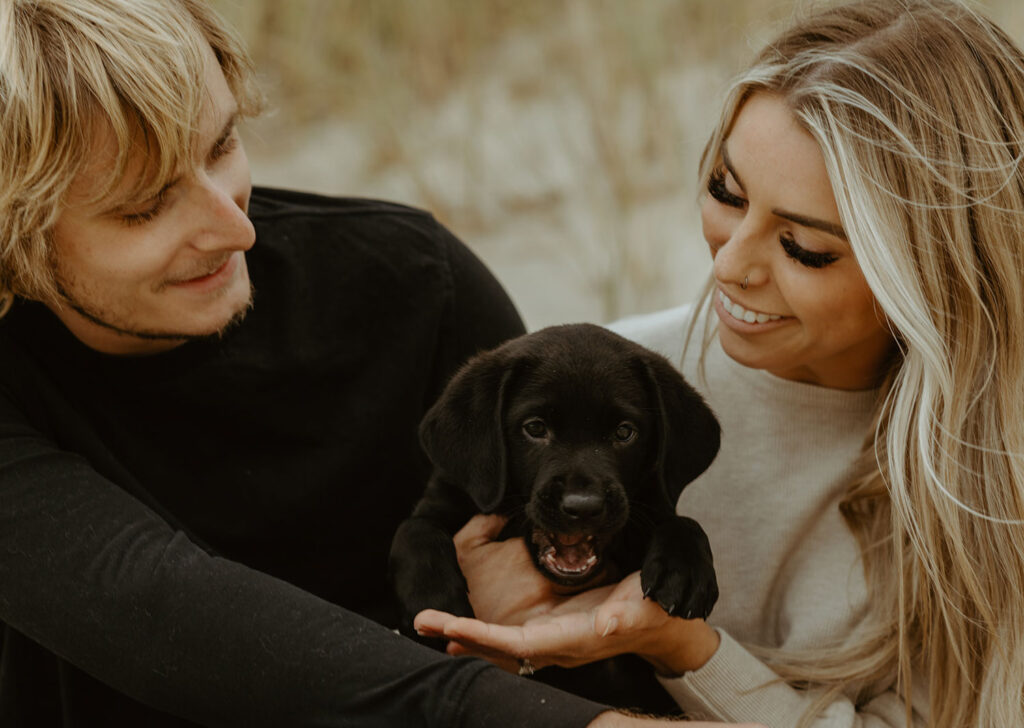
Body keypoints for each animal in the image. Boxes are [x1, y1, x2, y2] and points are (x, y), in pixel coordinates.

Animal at [389, 325, 720, 712]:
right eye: (535, 428)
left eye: (624, 432)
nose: (583, 506)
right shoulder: (446, 495)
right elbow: (413, 529)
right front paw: (431, 599)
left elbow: (683, 523)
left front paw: (685, 572)